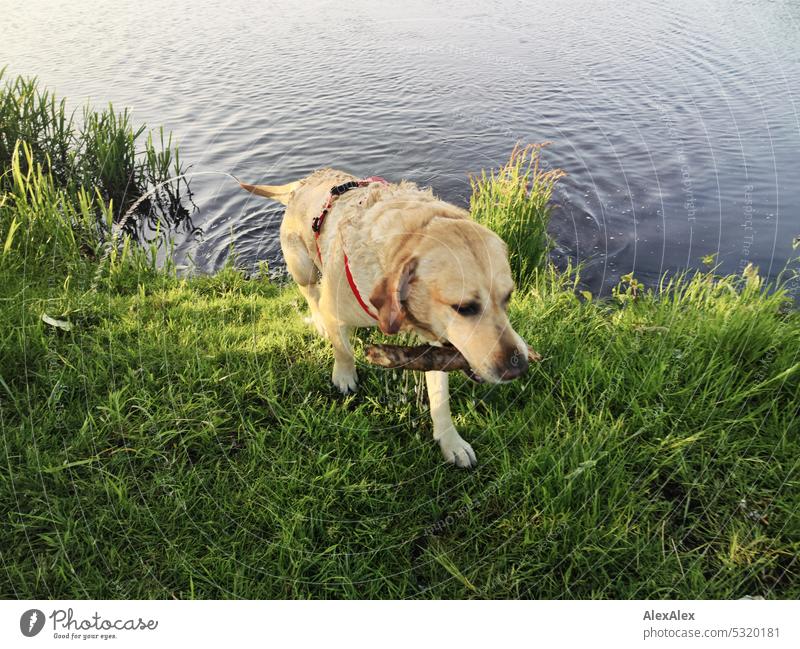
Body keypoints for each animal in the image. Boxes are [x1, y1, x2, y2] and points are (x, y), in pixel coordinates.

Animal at [241, 168, 528, 466]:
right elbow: (343, 350)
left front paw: (451, 441)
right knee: (310, 292)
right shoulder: (336, 311)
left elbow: (440, 397)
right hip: (301, 266)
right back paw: (319, 320)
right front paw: (344, 376)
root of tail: (305, 181)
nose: (519, 366)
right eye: (464, 307)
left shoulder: (436, 345)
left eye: (508, 297)